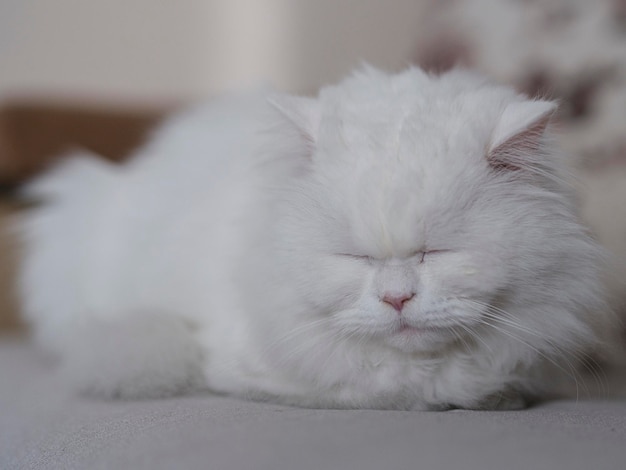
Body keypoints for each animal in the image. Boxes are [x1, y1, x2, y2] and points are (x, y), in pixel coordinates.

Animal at [18, 67, 608, 412]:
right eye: (356, 258)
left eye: (434, 253)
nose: (397, 299)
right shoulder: (265, 367)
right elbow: (389, 389)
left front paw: (499, 396)